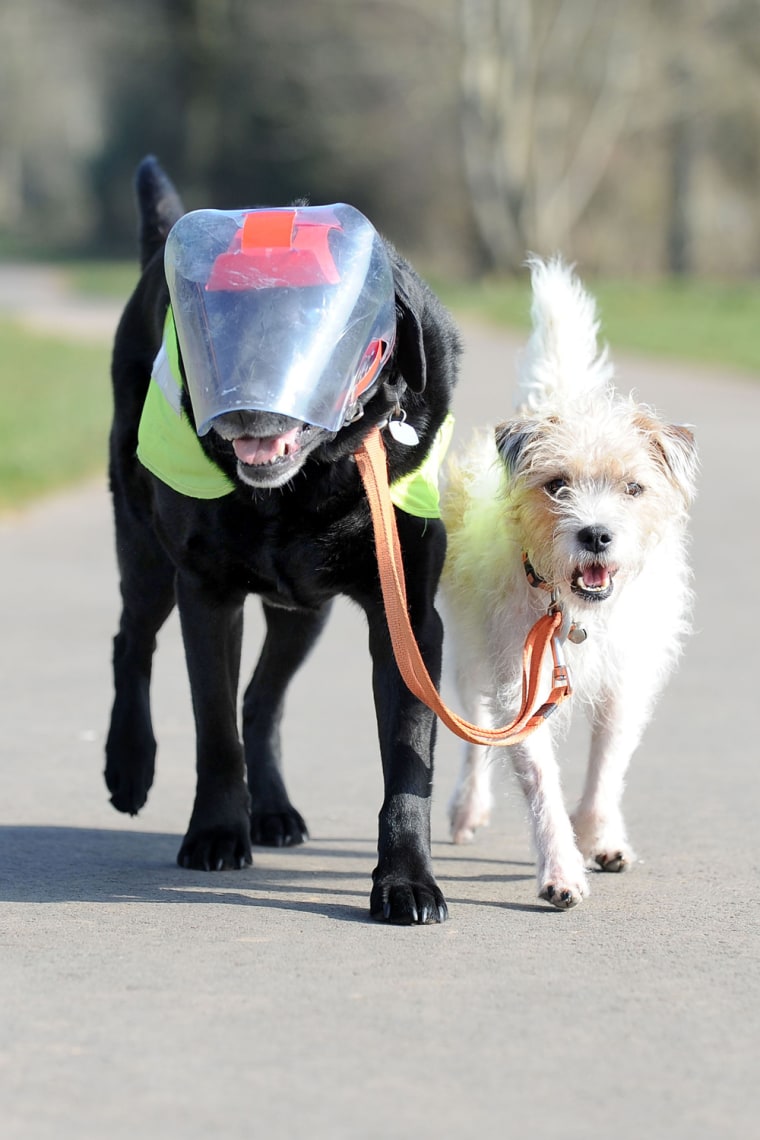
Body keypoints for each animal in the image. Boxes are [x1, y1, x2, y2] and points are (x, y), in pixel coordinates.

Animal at [104, 158, 460, 925]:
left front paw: (407, 881)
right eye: (219, 325)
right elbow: (214, 732)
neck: (309, 482)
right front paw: (214, 834)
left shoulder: (409, 619)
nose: (245, 408)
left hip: (306, 613)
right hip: (145, 549)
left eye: (312, 325)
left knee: (261, 699)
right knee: (133, 642)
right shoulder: (207, 594)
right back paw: (129, 765)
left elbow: (406, 760)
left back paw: (270, 810)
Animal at [442, 258, 697, 907]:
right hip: (470, 654)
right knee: (474, 732)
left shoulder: (625, 679)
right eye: (556, 485)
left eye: (633, 488)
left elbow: (608, 764)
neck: (574, 612)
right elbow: (539, 782)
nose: (596, 534)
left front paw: (600, 835)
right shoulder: (522, 686)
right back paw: (467, 808)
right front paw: (560, 869)